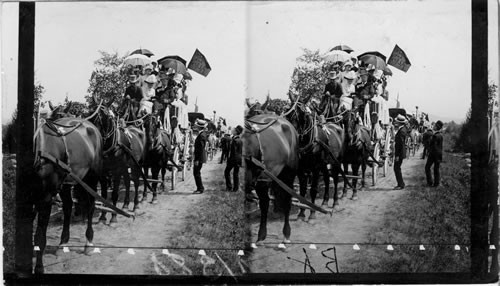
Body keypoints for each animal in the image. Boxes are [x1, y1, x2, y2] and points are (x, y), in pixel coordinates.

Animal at [32, 115, 103, 274]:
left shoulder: (45, 198)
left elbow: (40, 236)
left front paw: (39, 267)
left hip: (92, 176)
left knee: (90, 205)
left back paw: (88, 243)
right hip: (65, 182)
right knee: (68, 207)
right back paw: (63, 243)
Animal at [242, 114, 296, 244]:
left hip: (287, 174)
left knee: (287, 199)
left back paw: (286, 234)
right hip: (263, 179)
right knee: (265, 203)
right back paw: (261, 236)